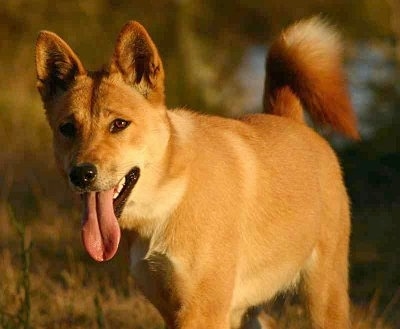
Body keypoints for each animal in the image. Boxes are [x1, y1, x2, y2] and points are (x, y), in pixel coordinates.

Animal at [36, 16, 358, 326]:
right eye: (68, 128)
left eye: (119, 124)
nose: (81, 174)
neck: (168, 202)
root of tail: (290, 121)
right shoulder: (173, 309)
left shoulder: (201, 312)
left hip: (323, 299)